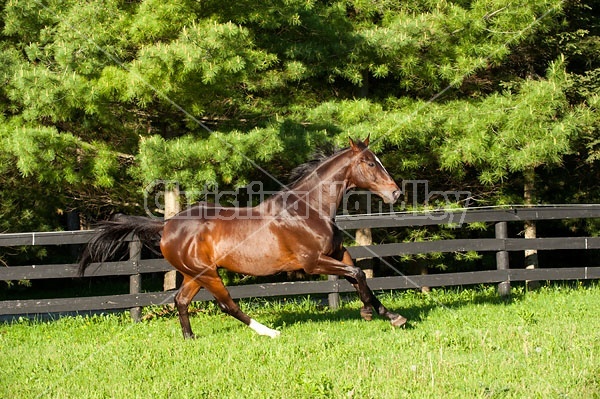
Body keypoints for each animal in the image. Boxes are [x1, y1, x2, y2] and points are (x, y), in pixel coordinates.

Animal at [78, 137, 408, 338]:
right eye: (370, 163)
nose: (396, 193)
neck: (308, 209)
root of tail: (168, 226)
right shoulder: (313, 262)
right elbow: (357, 274)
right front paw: (372, 313)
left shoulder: (337, 253)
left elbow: (358, 275)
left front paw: (388, 314)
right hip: (207, 273)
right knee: (227, 305)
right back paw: (269, 332)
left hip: (195, 274)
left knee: (180, 300)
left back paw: (190, 338)